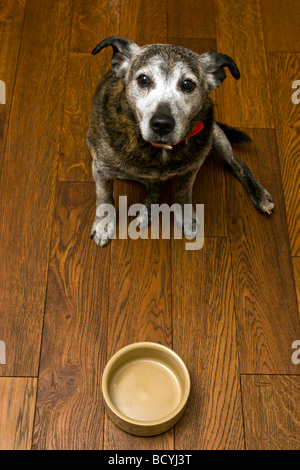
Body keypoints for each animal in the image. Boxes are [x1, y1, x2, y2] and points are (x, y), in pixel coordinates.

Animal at [86, 36, 274, 246]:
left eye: (187, 84)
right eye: (143, 80)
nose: (161, 124)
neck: (160, 150)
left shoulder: (192, 167)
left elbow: (183, 192)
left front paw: (184, 216)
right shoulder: (101, 168)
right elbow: (104, 198)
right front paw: (104, 225)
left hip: (213, 134)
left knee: (238, 163)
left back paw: (259, 195)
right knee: (154, 184)